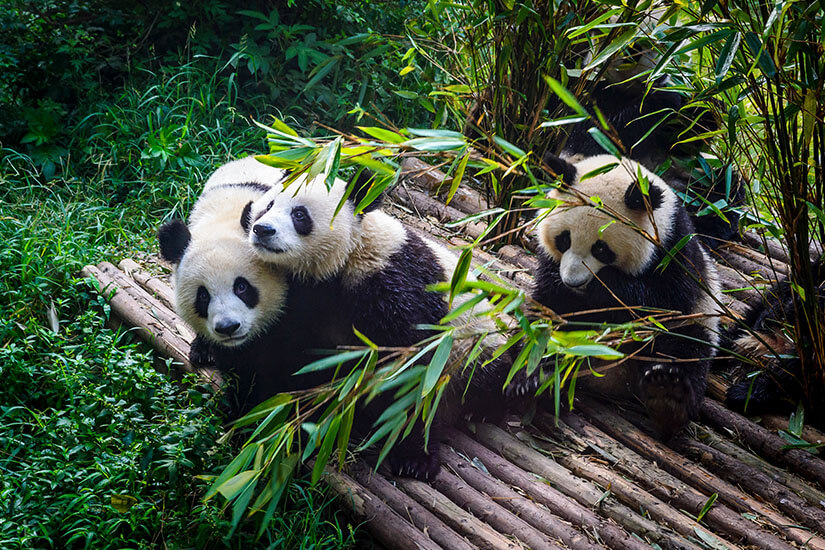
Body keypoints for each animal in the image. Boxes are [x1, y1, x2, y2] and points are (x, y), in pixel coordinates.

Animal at [242, 170, 512, 478]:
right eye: (268, 205)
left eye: (299, 215)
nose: (262, 229)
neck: (348, 256)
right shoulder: (305, 298)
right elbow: (291, 353)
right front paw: (268, 409)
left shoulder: (393, 282)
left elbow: (411, 368)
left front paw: (414, 459)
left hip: (475, 342)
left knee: (490, 373)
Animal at [527, 153, 722, 437]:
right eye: (564, 239)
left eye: (601, 249)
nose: (574, 281)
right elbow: (550, 301)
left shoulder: (676, 252)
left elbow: (660, 303)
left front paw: (605, 287)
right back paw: (537, 378)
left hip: (697, 322)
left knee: (686, 348)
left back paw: (667, 396)